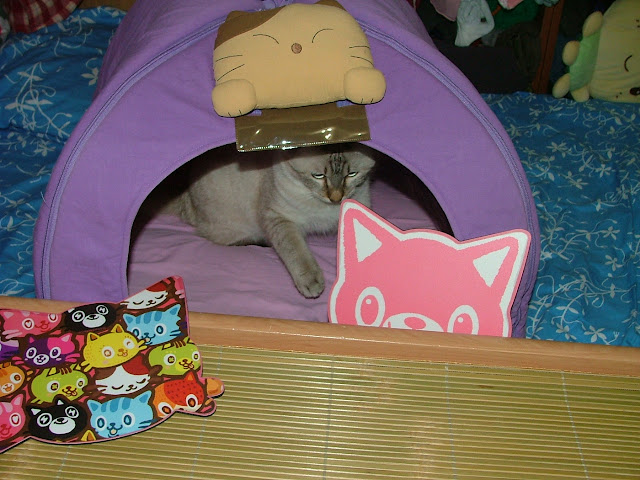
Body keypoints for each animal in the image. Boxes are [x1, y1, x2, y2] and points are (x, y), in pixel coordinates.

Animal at [166, 143, 376, 298]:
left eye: (352, 174)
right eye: (318, 176)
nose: (336, 197)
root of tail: (186, 199)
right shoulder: (279, 218)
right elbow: (296, 252)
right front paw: (312, 283)